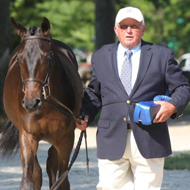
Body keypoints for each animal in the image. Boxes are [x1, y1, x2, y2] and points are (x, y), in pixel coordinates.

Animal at [0, 17, 83, 189]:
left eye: (48, 57)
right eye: (19, 59)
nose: (31, 103)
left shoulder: (65, 139)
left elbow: (62, 180)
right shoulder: (27, 136)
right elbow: (29, 179)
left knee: (51, 161)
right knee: (38, 171)